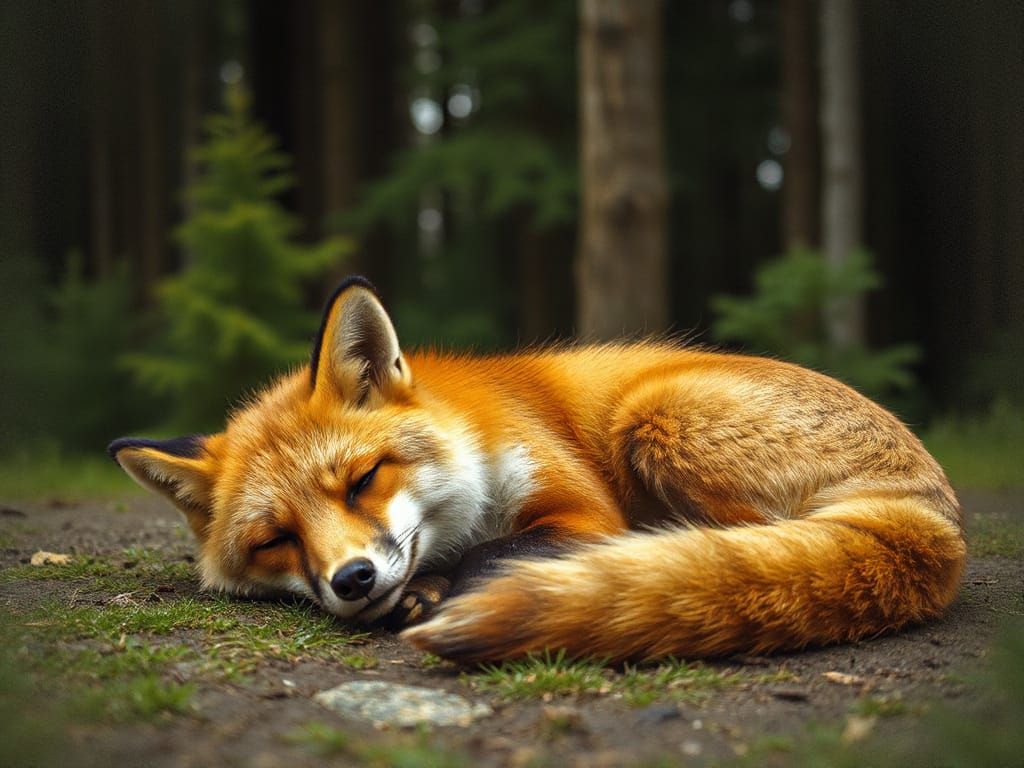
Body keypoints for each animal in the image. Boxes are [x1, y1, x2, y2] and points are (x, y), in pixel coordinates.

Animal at [109, 276, 966, 664]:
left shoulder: (579, 508)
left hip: (654, 412)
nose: (352, 581)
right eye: (275, 540)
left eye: (361, 481)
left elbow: (499, 549)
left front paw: (437, 589)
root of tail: (936, 510)